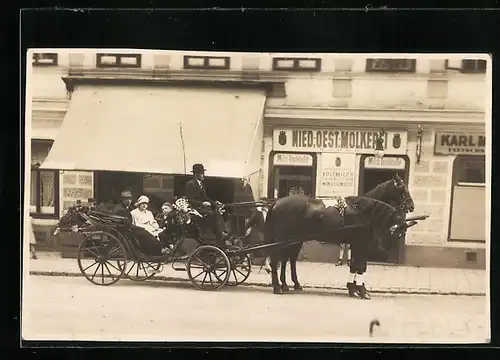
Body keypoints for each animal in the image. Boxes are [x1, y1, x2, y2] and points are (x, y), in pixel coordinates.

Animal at [268, 173, 416, 300]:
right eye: (402, 188)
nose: (411, 206)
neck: (362, 209)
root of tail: (276, 202)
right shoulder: (361, 243)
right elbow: (360, 266)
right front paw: (362, 291)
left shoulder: (356, 243)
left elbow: (355, 266)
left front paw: (353, 288)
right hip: (282, 239)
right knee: (276, 260)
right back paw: (278, 287)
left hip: (292, 240)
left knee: (287, 259)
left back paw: (287, 285)